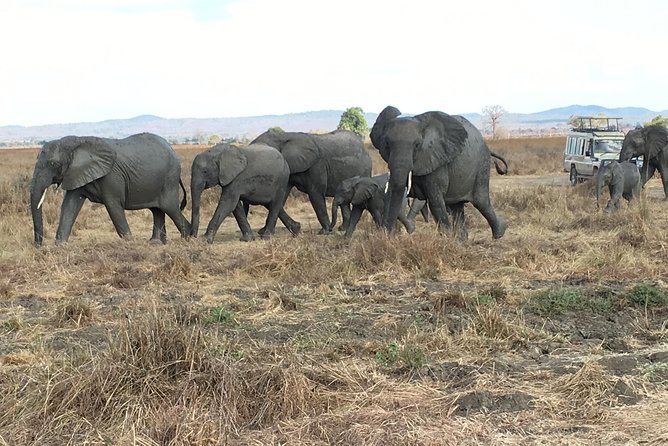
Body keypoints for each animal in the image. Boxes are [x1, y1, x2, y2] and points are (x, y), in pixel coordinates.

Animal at [29, 132, 189, 247]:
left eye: (53, 164)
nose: (38, 246)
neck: (77, 142)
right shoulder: (76, 173)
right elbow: (69, 206)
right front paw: (59, 246)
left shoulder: (111, 176)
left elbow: (113, 206)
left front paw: (129, 243)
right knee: (157, 210)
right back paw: (156, 243)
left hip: (169, 179)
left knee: (170, 207)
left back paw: (187, 238)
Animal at [370, 106, 506, 240]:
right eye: (387, 144)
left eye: (417, 145)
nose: (389, 235)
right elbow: (391, 193)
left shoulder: (437, 161)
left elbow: (435, 200)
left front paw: (446, 240)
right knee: (457, 207)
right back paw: (462, 241)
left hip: (482, 165)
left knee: (481, 201)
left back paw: (500, 232)